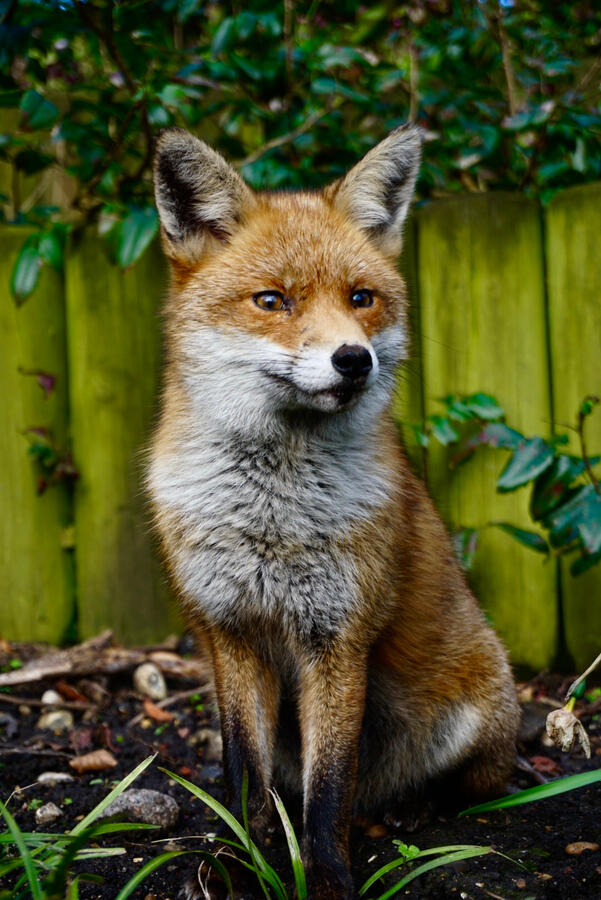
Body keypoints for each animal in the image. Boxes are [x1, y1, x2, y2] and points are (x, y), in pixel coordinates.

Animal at [148, 124, 520, 900]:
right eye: (271, 301)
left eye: (361, 297)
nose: (354, 360)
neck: (272, 516)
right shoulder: (229, 632)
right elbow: (244, 776)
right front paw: (236, 862)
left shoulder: (339, 638)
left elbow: (328, 790)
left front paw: (322, 878)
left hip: (471, 717)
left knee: (459, 787)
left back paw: (414, 808)